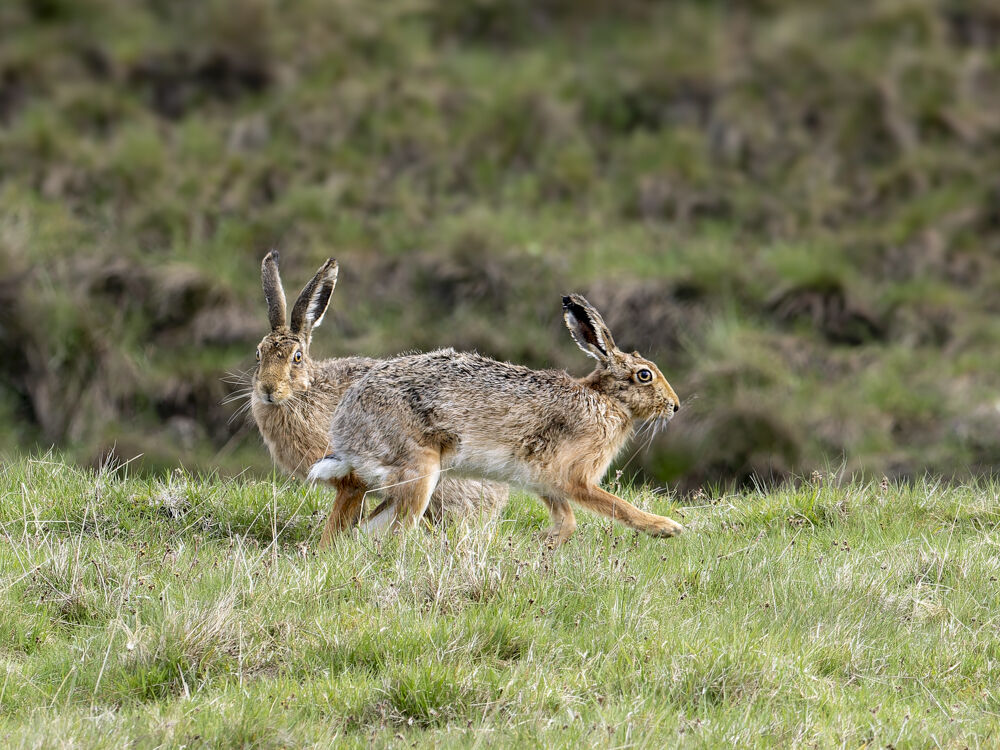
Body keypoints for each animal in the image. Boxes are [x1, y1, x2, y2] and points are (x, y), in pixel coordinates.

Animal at [248, 250, 508, 537]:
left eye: (297, 357)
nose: (268, 389)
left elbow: (339, 518)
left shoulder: (351, 478)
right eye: (258, 353)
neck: (304, 393)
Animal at [308, 293, 684, 547]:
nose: (675, 406)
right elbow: (616, 506)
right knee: (396, 530)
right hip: (419, 472)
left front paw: (542, 542)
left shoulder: (543, 480)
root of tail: (346, 436)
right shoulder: (574, 477)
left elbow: (567, 521)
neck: (607, 400)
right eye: (645, 375)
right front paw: (666, 527)